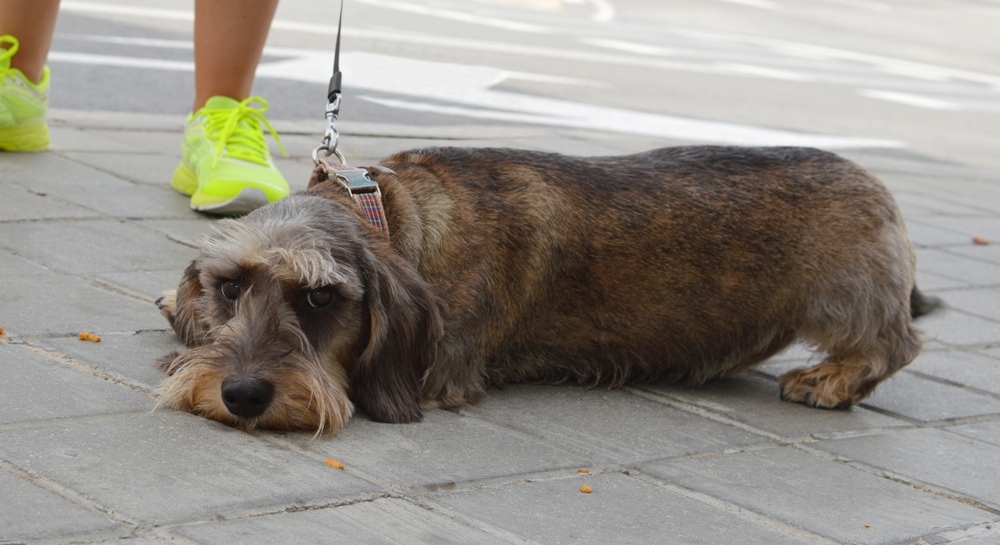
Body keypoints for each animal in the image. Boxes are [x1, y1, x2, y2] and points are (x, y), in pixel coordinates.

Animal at [154, 144, 936, 434]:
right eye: (230, 287)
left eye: (321, 298)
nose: (242, 394)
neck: (394, 215)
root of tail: (876, 182)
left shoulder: (442, 366)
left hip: (848, 297)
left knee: (898, 343)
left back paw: (831, 378)